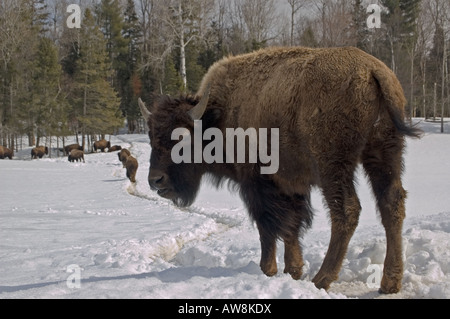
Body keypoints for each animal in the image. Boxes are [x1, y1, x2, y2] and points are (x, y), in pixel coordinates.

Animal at [137, 46, 422, 294]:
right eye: (151, 136)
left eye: (181, 138)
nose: (155, 180)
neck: (218, 116)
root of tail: (373, 70)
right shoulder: (291, 185)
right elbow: (292, 225)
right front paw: (293, 270)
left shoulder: (256, 183)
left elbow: (268, 225)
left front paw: (269, 269)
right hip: (385, 155)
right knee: (392, 205)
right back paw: (389, 283)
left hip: (333, 166)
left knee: (346, 211)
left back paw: (322, 279)